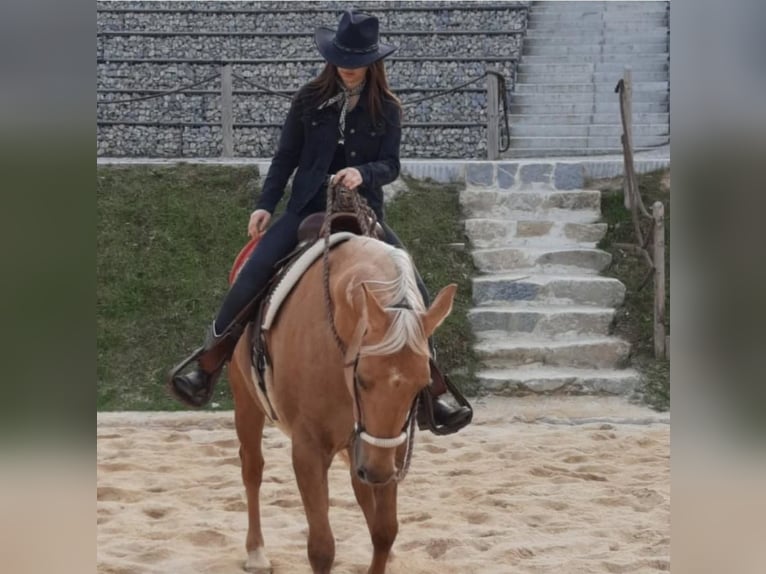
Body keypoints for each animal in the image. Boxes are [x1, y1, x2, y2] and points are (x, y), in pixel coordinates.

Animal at [227, 234, 457, 574]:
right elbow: (322, 548)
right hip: (246, 400)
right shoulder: (308, 450)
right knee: (252, 469)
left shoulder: (391, 446)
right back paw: (256, 552)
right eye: (362, 378)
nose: (376, 471)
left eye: (422, 385)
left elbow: (385, 530)